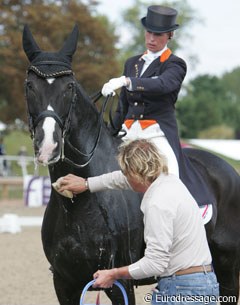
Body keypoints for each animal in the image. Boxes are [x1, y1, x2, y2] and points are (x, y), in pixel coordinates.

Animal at [22, 25, 238, 304]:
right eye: (29, 85)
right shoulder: (64, 283)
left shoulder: (120, 282)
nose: (48, 145)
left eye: (69, 86)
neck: (76, 203)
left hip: (228, 264)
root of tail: (228, 169)